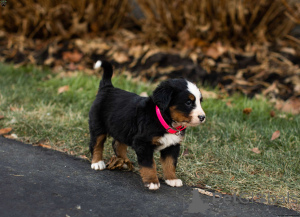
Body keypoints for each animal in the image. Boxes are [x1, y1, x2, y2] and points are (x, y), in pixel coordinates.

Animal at [89, 59, 205, 190]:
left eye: (200, 101)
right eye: (188, 102)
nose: (202, 117)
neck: (164, 120)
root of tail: (107, 87)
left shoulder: (172, 145)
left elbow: (170, 163)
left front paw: (172, 179)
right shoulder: (143, 143)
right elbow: (149, 165)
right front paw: (152, 181)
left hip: (122, 127)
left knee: (117, 144)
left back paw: (124, 162)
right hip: (97, 124)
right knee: (96, 143)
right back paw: (97, 163)